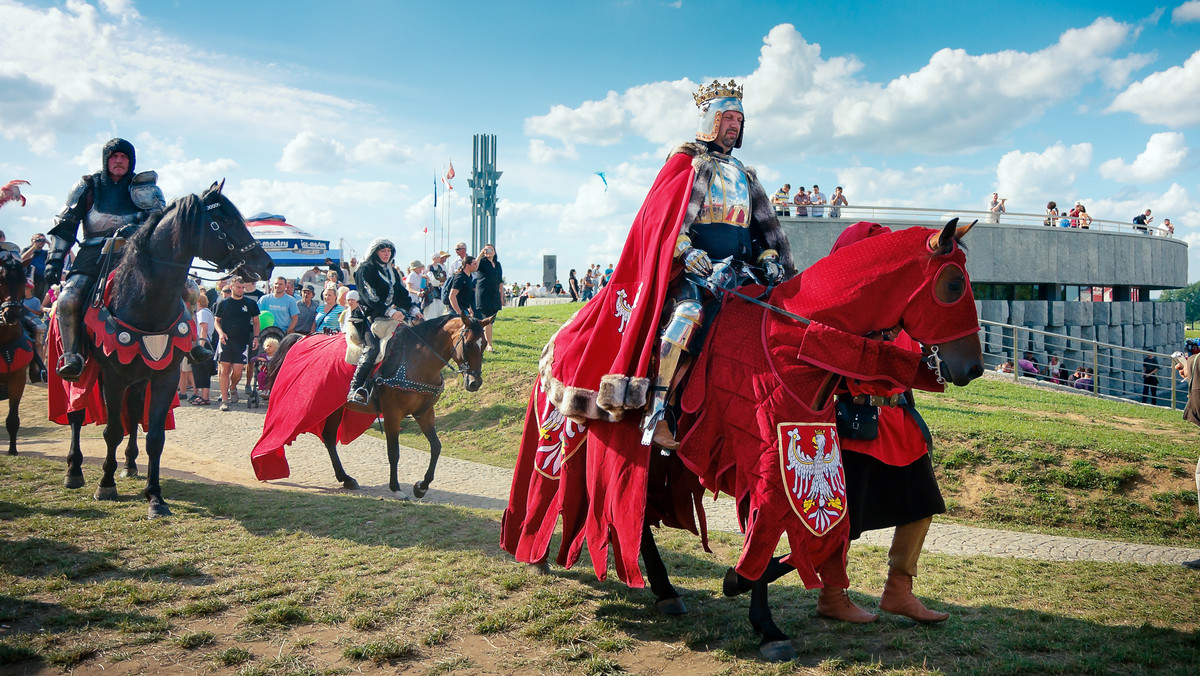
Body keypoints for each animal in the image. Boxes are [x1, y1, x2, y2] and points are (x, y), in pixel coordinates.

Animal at [59, 181, 273, 518]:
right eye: (224, 221)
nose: (267, 264)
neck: (144, 301)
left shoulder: (165, 375)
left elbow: (155, 437)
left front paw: (155, 496)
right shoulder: (113, 376)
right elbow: (111, 430)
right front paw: (105, 485)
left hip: (139, 377)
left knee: (134, 415)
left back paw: (130, 465)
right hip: (84, 371)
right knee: (77, 414)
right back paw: (74, 471)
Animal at [260, 309, 489, 497]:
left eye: (485, 344)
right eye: (468, 344)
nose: (475, 382)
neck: (416, 359)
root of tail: (302, 338)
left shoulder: (424, 412)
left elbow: (436, 447)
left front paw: (421, 486)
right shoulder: (392, 414)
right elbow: (394, 452)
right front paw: (396, 488)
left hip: (334, 407)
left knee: (329, 438)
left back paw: (346, 479)